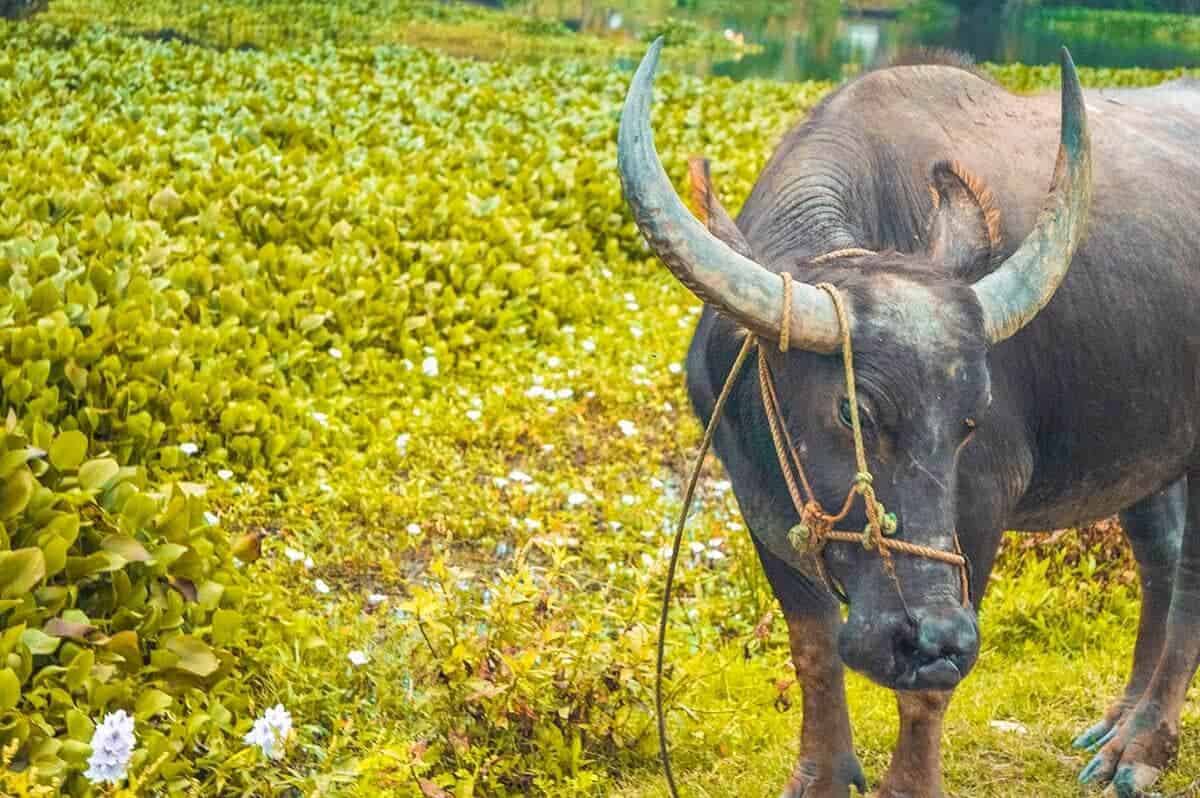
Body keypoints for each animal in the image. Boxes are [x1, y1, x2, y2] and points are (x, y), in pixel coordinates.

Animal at [618, 39, 1200, 798]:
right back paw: (1117, 725)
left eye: (971, 421)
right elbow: (812, 646)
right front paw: (822, 776)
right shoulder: (755, 497)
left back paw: (1144, 747)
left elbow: (929, 688)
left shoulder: (981, 504)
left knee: (1191, 578)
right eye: (853, 409)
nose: (928, 637)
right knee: (1161, 554)